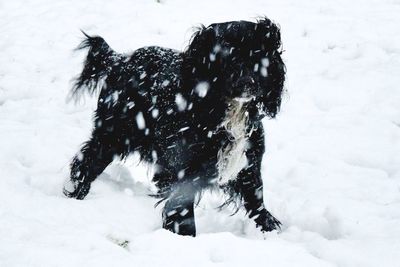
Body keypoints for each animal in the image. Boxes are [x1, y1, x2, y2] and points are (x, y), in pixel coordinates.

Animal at [63, 18, 284, 237]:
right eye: (226, 56)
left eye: (257, 54)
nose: (247, 82)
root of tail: (120, 60)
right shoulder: (183, 170)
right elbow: (182, 210)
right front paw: (184, 238)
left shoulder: (249, 163)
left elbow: (256, 199)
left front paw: (269, 229)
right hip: (113, 134)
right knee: (87, 160)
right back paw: (76, 195)